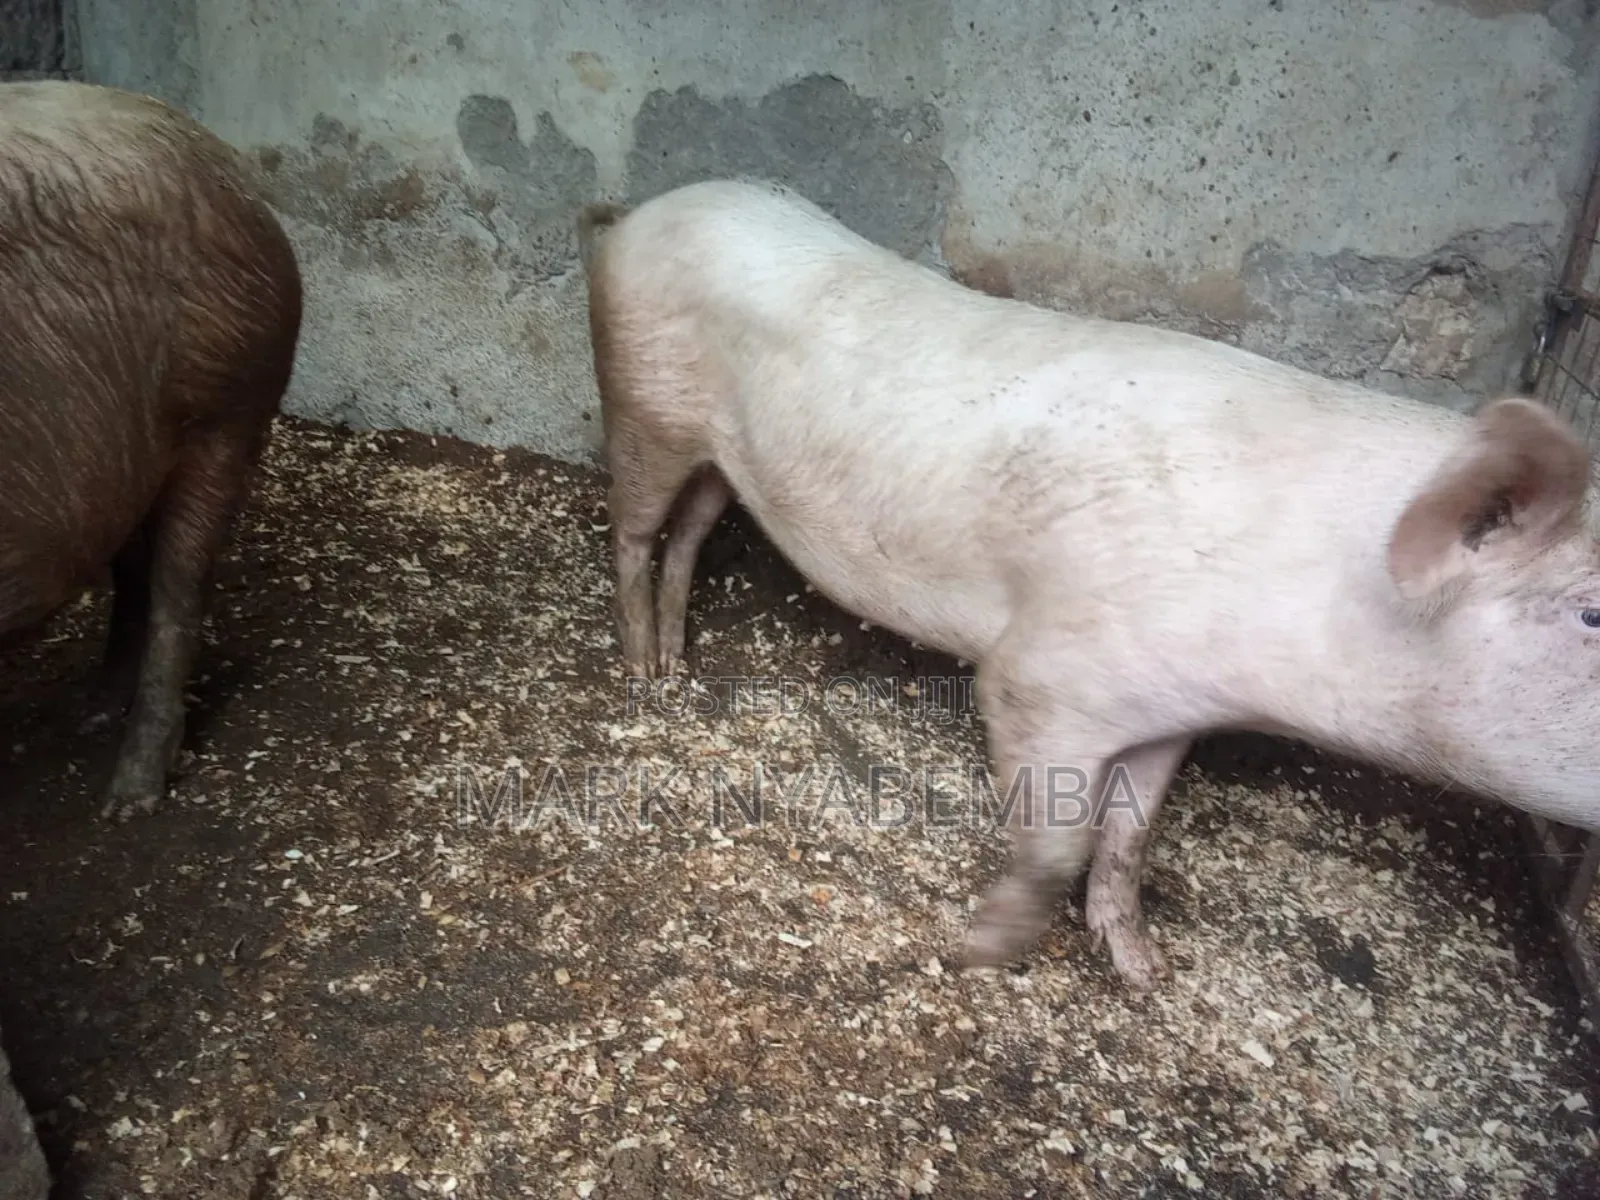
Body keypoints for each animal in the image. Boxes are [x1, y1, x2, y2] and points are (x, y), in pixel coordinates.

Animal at [576, 177, 1600, 992]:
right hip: (640, 400)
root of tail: (644, 209)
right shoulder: (1045, 675)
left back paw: (675, 664)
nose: (1153, 973)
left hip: (719, 455)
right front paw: (980, 953)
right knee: (630, 531)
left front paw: (1146, 972)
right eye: (1592, 611)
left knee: (690, 533)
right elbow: (1058, 835)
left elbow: (1131, 834)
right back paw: (637, 672)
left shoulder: (1173, 712)